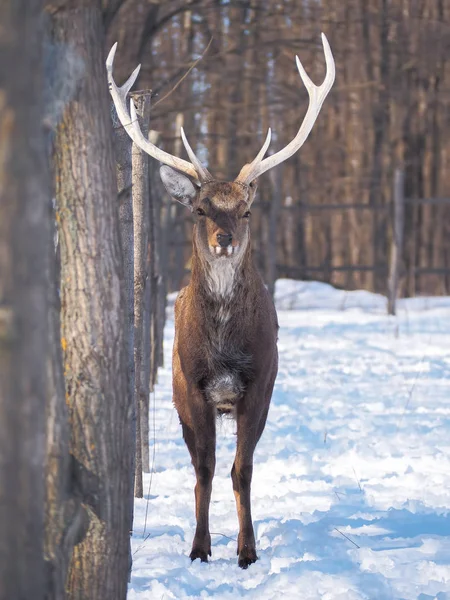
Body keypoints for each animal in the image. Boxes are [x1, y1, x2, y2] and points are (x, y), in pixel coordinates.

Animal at [107, 35, 336, 568]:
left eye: (246, 209)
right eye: (199, 208)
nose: (224, 238)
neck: (226, 348)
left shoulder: (260, 385)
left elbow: (241, 471)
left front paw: (247, 551)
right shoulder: (192, 386)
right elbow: (206, 470)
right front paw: (199, 548)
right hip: (175, 391)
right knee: (199, 465)